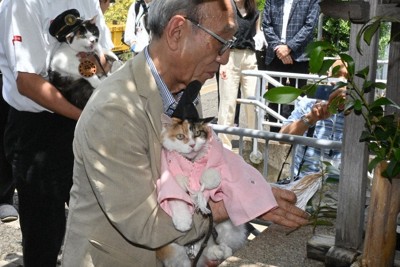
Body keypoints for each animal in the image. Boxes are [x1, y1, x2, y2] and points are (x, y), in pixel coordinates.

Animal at [155, 114, 247, 267]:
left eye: (197, 133)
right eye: (180, 136)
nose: (192, 145)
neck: (191, 163)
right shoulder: (169, 181)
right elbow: (176, 199)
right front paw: (183, 222)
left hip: (229, 229)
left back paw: (221, 251)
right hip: (173, 250)